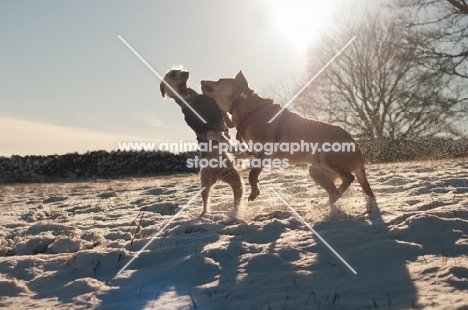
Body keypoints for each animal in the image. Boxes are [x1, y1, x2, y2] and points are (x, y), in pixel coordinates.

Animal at [160, 69, 243, 217]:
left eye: (179, 70)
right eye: (172, 74)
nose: (186, 72)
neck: (192, 100)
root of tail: (218, 175)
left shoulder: (222, 117)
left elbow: (226, 121)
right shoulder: (200, 127)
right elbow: (216, 134)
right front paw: (230, 145)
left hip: (235, 179)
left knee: (237, 199)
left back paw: (235, 213)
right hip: (204, 182)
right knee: (205, 200)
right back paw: (204, 214)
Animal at [199, 70, 374, 212]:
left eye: (219, 80)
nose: (201, 81)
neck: (244, 105)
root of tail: (358, 151)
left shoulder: (264, 152)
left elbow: (252, 174)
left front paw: (254, 192)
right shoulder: (253, 151)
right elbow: (240, 157)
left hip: (328, 158)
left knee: (349, 178)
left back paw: (334, 197)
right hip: (315, 171)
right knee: (335, 188)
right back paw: (329, 202)